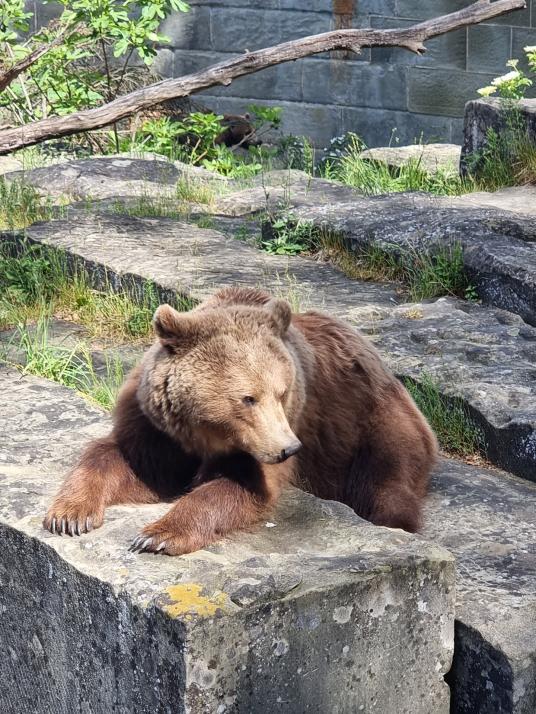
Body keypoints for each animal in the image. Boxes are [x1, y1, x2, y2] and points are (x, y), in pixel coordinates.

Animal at [44, 286, 438, 552]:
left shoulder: (268, 440)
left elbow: (239, 487)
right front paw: (69, 515)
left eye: (281, 392)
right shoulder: (159, 429)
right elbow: (127, 461)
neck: (205, 436)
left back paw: (394, 524)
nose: (289, 448)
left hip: (371, 426)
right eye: (248, 398)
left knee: (389, 487)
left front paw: (156, 535)